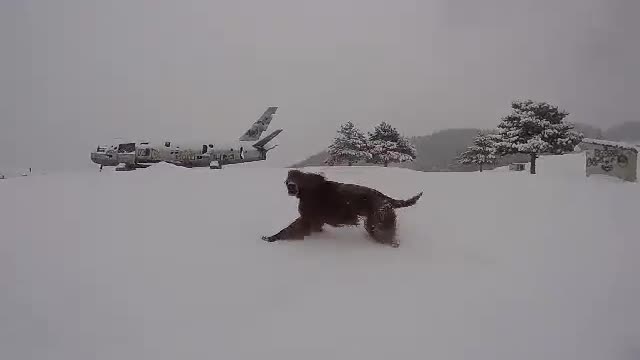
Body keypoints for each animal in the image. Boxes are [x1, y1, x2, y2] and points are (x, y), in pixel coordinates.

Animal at [262, 169, 422, 248]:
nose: (291, 185)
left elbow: (287, 230)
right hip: (372, 222)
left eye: (299, 176)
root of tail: (385, 198)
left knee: (388, 235)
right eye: (289, 178)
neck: (309, 190)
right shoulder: (314, 221)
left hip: (379, 221)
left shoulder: (306, 219)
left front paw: (270, 238)